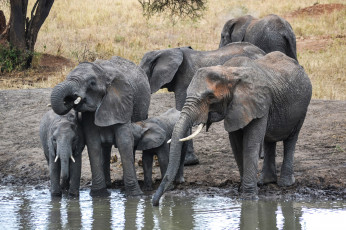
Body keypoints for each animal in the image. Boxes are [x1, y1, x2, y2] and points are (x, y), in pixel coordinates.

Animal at [49, 55, 150, 196]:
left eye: (92, 83)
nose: (70, 99)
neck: (102, 72)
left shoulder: (123, 104)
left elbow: (124, 142)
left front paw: (135, 195)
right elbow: (93, 143)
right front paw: (99, 194)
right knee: (105, 147)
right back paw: (107, 185)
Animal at [153, 51, 312, 206]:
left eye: (210, 97)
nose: (155, 202)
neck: (229, 73)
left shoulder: (260, 103)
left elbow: (250, 144)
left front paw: (249, 198)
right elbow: (236, 145)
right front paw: (243, 191)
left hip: (303, 107)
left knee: (291, 139)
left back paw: (285, 184)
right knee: (269, 141)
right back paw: (265, 182)